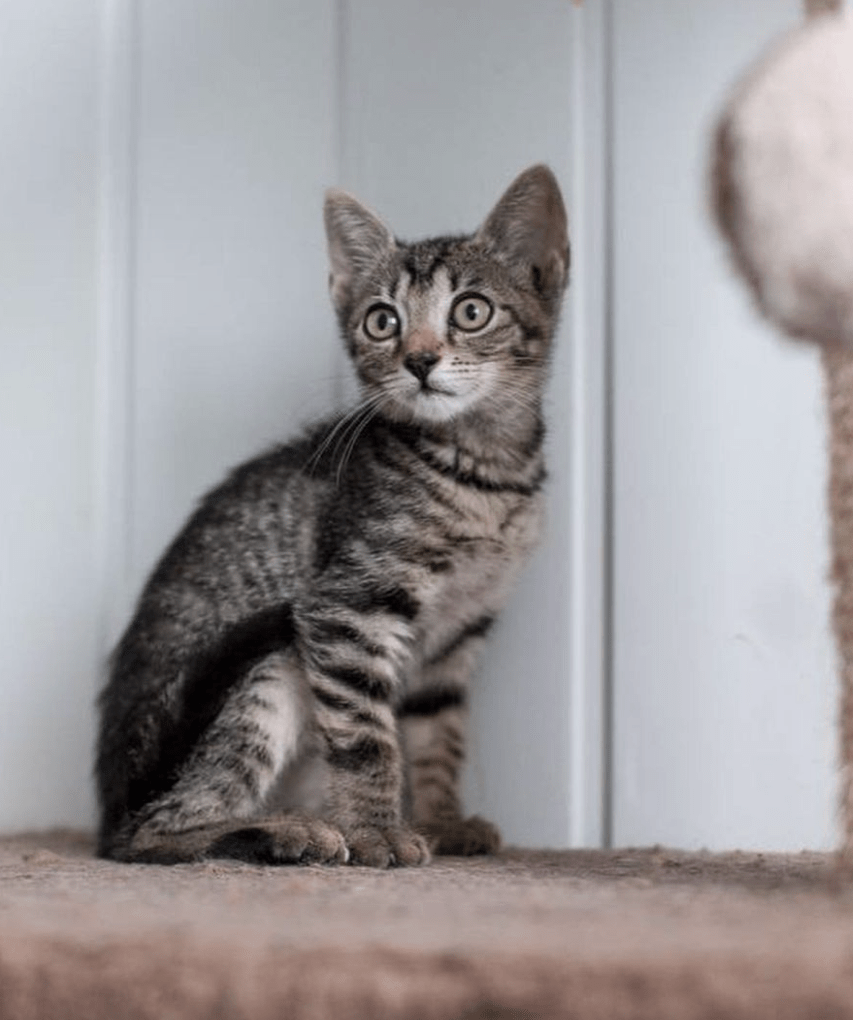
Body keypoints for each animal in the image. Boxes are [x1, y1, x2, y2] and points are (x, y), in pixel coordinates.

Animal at [96, 167, 571, 869]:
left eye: (471, 310)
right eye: (382, 321)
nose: (419, 360)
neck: (484, 475)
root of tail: (109, 805)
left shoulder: (457, 635)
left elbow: (438, 737)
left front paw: (442, 821)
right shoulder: (345, 609)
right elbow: (366, 736)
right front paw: (377, 832)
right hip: (264, 669)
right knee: (149, 835)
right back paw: (285, 832)